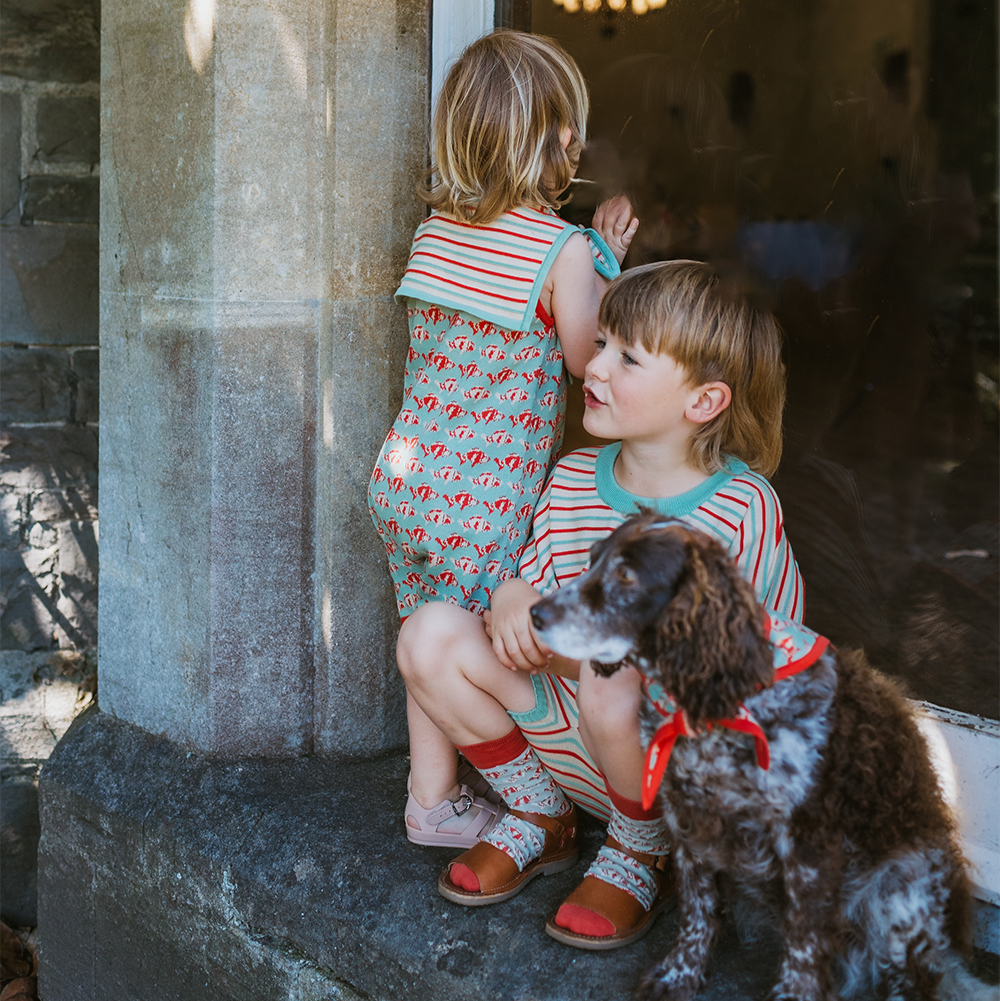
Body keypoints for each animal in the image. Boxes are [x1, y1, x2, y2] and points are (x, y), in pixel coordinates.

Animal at [528, 516, 996, 1001]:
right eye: (592, 559)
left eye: (625, 576)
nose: (535, 614)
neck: (721, 700)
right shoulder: (687, 816)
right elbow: (697, 912)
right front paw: (679, 974)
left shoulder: (807, 842)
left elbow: (804, 939)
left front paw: (794, 992)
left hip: (905, 890)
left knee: (914, 976)